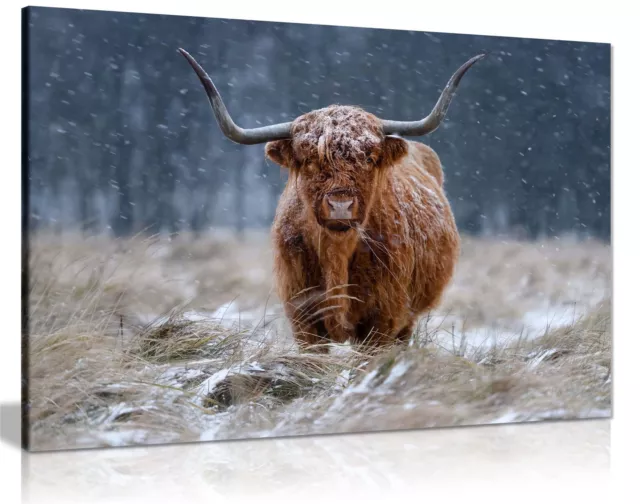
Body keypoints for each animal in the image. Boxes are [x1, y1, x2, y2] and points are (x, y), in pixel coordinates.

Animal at [179, 47, 484, 350]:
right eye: (309, 160)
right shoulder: (303, 317)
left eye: (369, 159)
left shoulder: (383, 318)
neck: (336, 252)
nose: (340, 206)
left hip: (407, 319)